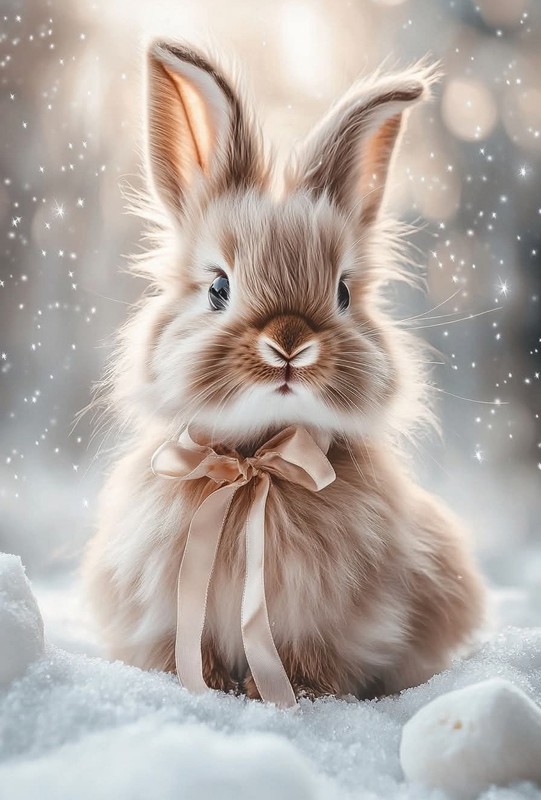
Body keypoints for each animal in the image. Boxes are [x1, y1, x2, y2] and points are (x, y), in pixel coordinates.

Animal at [83, 41, 487, 701]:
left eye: (343, 292)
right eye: (218, 288)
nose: (290, 344)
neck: (256, 463)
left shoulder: (330, 624)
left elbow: (314, 658)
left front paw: (277, 692)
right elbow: (183, 650)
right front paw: (210, 684)